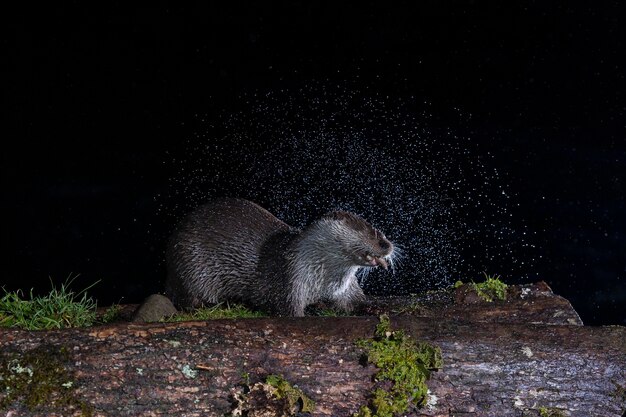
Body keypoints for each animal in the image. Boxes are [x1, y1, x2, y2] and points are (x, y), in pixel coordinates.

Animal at [163, 198, 392, 316]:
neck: (322, 280)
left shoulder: (346, 289)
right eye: (368, 231)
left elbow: (355, 302)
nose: (387, 245)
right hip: (190, 266)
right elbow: (287, 310)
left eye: (382, 233)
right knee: (189, 302)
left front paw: (375, 307)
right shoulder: (288, 280)